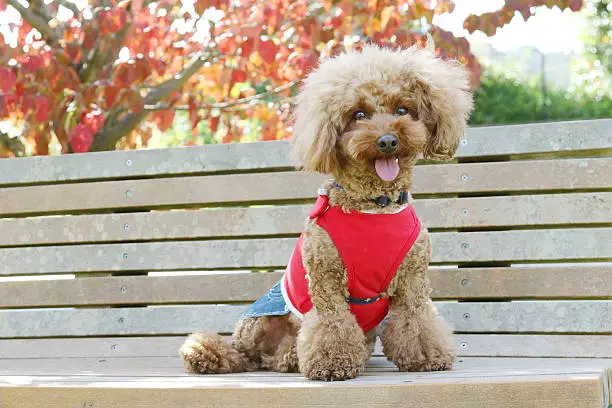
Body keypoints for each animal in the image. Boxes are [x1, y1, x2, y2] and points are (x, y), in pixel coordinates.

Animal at [178, 43, 474, 380]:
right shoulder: (325, 278)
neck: (373, 205)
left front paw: (427, 356)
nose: (387, 140)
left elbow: (416, 319)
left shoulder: (412, 279)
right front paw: (331, 364)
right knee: (260, 355)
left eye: (402, 110)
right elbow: (332, 324)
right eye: (358, 114)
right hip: (260, 321)